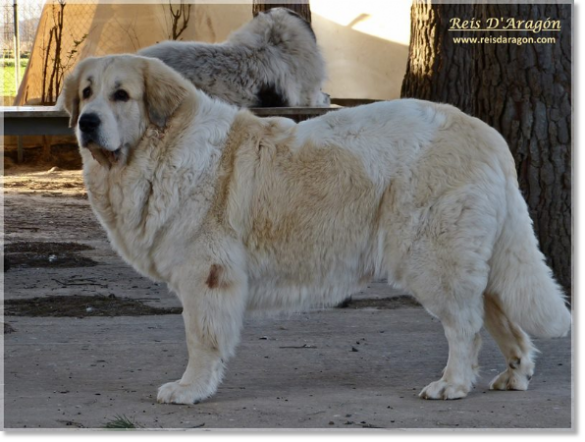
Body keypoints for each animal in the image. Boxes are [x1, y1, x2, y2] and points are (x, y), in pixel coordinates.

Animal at [60, 54, 572, 404]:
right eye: (86, 93)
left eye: (121, 95)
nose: (87, 122)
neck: (159, 151)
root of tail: (485, 133)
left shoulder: (207, 276)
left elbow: (201, 340)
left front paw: (191, 389)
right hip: (469, 258)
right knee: (501, 317)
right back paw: (514, 375)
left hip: (431, 258)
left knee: (465, 326)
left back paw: (452, 384)